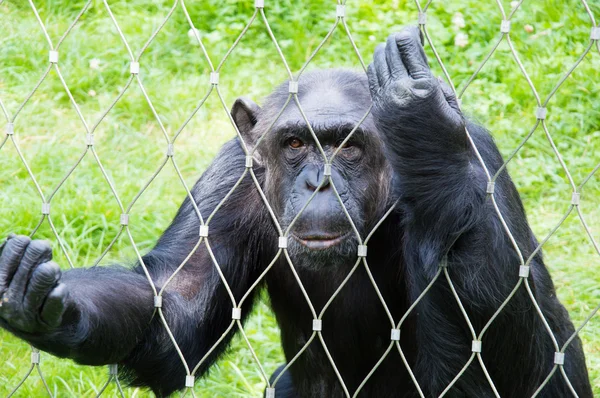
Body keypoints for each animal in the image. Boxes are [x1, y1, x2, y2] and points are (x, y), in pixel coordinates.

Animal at [0, 28, 592, 398]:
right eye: (295, 144)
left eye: (347, 146)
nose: (318, 180)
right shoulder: (235, 175)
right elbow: (176, 309)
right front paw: (47, 299)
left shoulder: (482, 159)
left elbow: (513, 352)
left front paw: (423, 126)